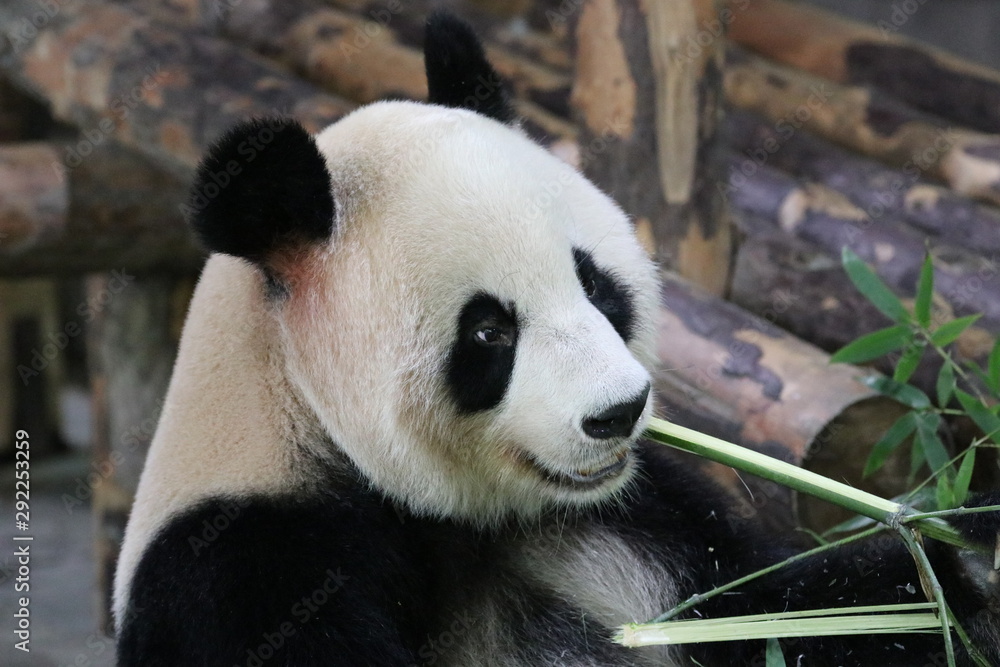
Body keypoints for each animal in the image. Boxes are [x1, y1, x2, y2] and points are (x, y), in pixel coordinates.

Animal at [114, 12, 999, 667]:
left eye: (596, 284)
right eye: (489, 330)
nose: (620, 411)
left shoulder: (629, 515)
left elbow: (778, 609)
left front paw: (955, 569)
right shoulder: (247, 568)